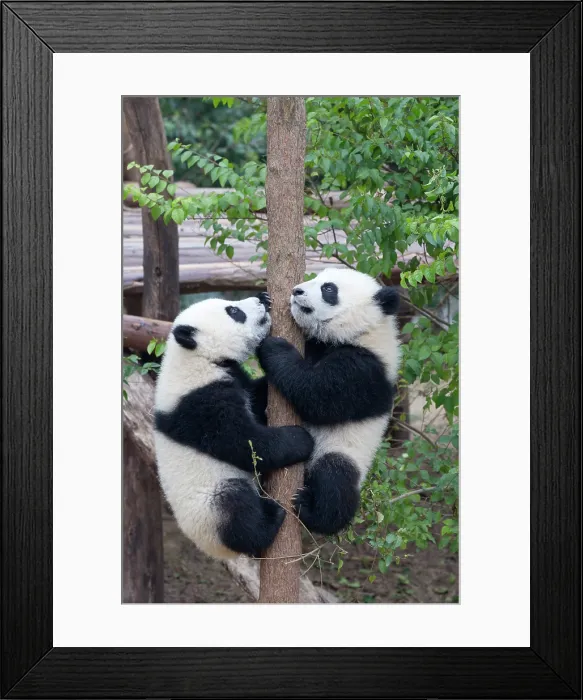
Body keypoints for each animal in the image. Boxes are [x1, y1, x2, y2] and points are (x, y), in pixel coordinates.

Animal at [153, 293, 314, 560]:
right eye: (234, 311)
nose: (260, 300)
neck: (199, 359)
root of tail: (217, 550)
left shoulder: (234, 379)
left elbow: (257, 397)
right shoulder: (199, 404)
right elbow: (242, 442)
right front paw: (300, 439)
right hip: (209, 507)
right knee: (236, 508)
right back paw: (268, 521)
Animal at [257, 268, 401, 536]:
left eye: (329, 289)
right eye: (316, 277)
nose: (297, 291)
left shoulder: (365, 369)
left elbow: (316, 394)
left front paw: (275, 348)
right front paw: (261, 303)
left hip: (344, 450)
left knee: (335, 480)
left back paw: (311, 511)